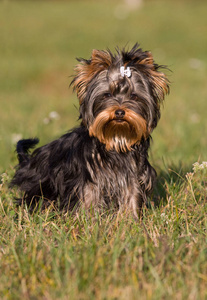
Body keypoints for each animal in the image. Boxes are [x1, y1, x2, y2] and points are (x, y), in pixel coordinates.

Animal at [11, 44, 169, 218]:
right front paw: (87, 219)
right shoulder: (87, 177)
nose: (120, 112)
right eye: (107, 95)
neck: (116, 138)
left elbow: (132, 194)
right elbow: (88, 197)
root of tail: (29, 163)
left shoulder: (134, 174)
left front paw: (130, 219)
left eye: (134, 96)